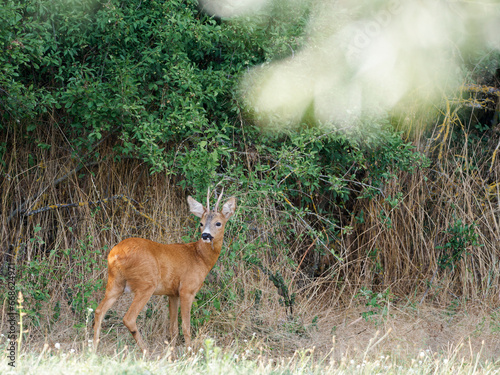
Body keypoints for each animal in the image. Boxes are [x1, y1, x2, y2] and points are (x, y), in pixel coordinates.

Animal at [93, 189, 237, 354]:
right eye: (201, 223)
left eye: (218, 223)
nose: (205, 235)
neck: (199, 257)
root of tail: (115, 254)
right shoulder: (187, 289)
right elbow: (186, 327)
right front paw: (189, 354)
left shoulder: (172, 293)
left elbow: (173, 328)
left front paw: (172, 355)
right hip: (146, 284)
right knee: (128, 318)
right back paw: (146, 352)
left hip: (115, 283)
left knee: (99, 311)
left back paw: (93, 350)